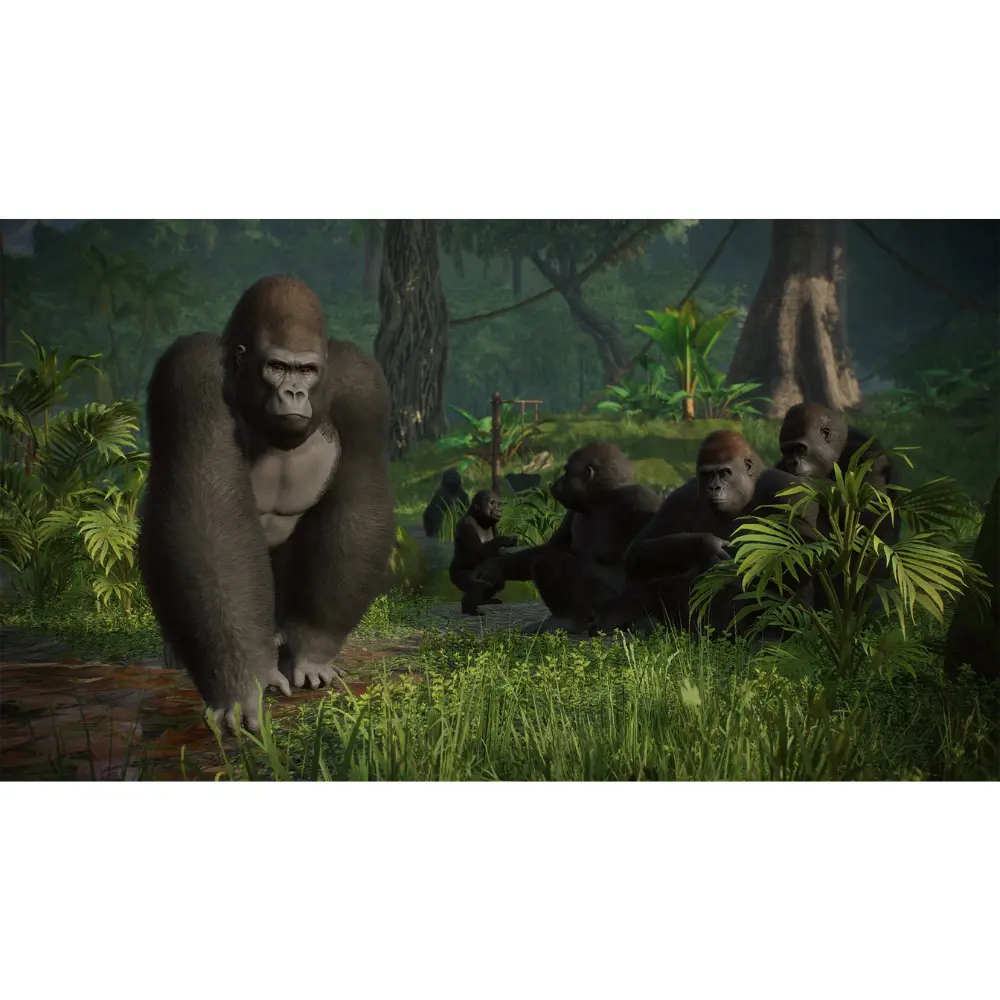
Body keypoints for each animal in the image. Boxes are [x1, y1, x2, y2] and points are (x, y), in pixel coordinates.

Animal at [138, 275, 396, 734]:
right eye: (277, 367)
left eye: (306, 370)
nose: (293, 392)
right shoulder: (190, 370)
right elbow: (204, 508)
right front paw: (242, 683)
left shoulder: (363, 383)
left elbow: (360, 501)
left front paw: (312, 646)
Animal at [473, 442, 662, 634]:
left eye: (566, 472)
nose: (558, 480)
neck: (602, 498)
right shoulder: (572, 511)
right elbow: (553, 548)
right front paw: (495, 568)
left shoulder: (640, 499)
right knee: (548, 560)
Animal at [591, 430, 817, 636]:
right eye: (707, 474)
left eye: (725, 473)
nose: (714, 487)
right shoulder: (681, 497)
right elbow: (637, 553)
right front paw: (704, 546)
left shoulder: (789, 491)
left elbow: (802, 553)